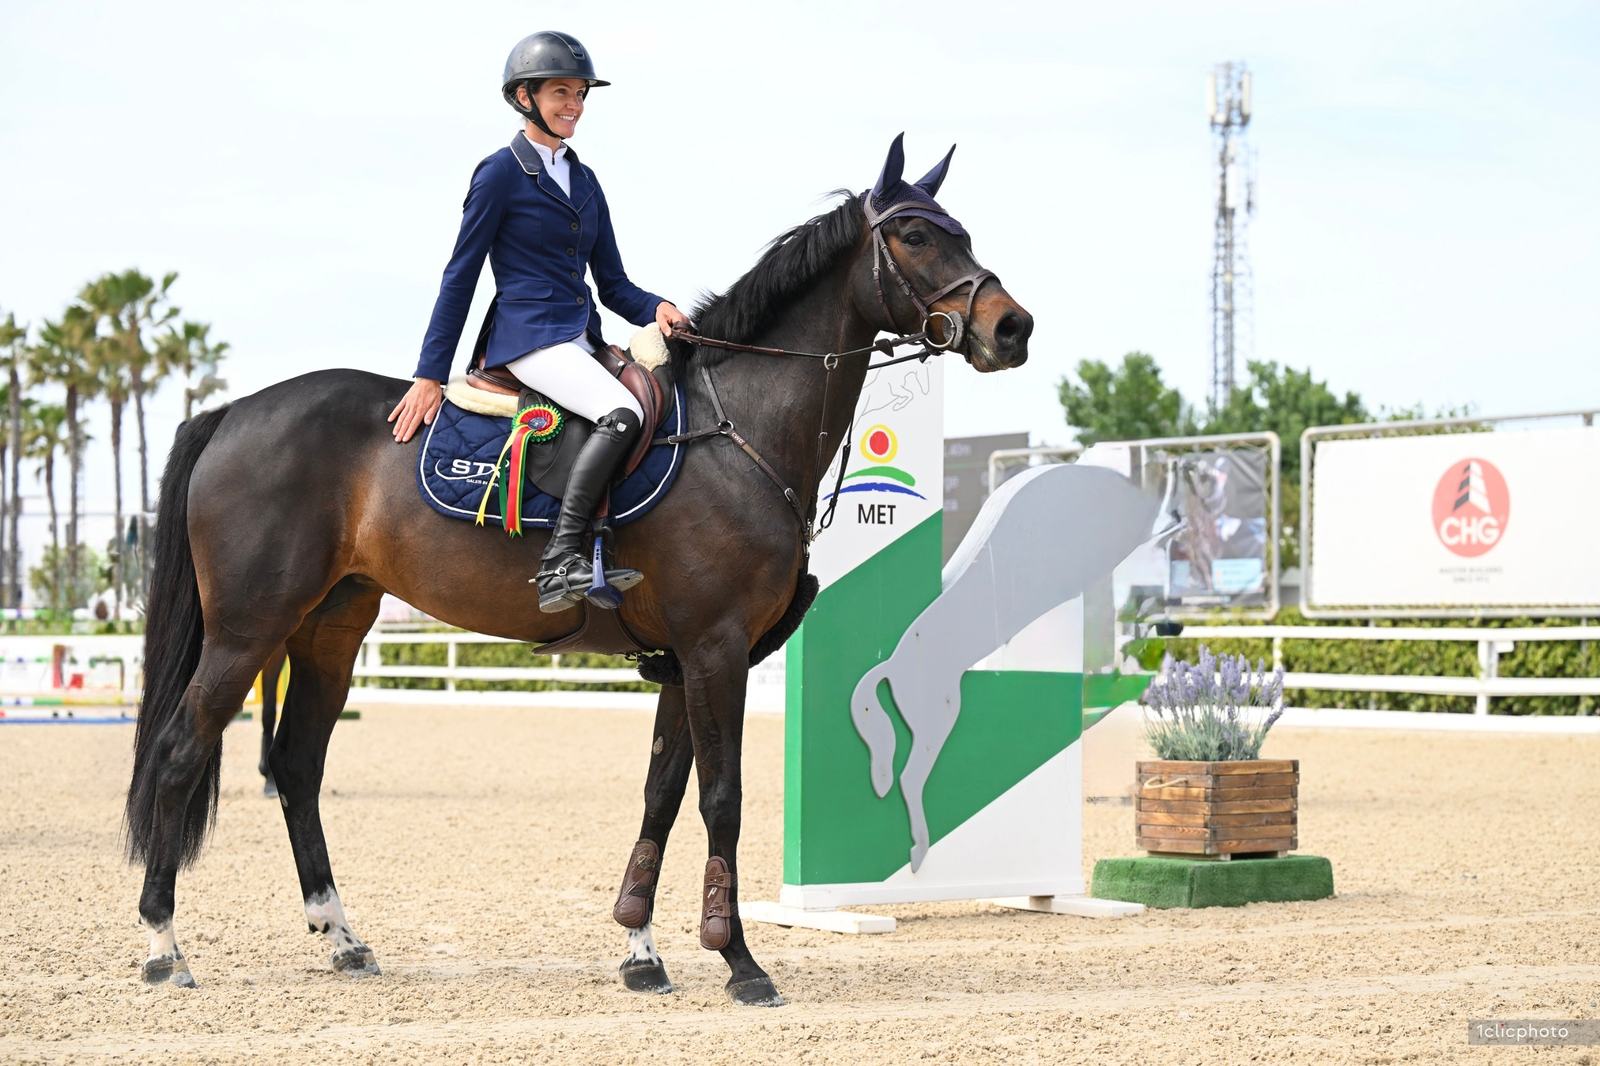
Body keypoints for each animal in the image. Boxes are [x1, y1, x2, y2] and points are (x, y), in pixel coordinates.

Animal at [124, 134, 1033, 1005]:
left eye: (963, 232)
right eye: (915, 236)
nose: (1013, 327)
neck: (739, 430)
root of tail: (233, 410)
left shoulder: (682, 659)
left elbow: (662, 794)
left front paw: (642, 950)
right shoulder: (717, 649)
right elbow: (722, 798)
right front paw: (738, 960)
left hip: (329, 629)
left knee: (298, 766)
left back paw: (343, 938)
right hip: (249, 629)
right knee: (180, 750)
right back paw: (165, 947)